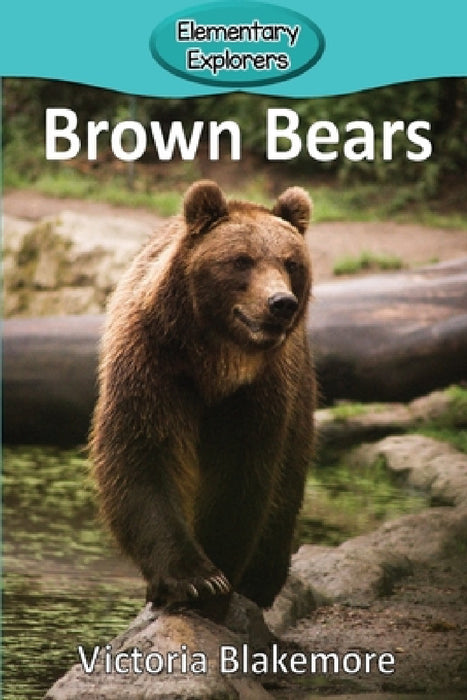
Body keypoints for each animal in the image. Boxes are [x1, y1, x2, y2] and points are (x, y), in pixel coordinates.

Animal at [90, 180, 315, 615]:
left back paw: (262, 581)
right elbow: (142, 457)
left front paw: (220, 579)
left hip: (301, 403)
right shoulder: (152, 366)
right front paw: (196, 579)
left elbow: (240, 478)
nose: (280, 303)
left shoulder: (258, 394)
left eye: (291, 262)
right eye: (242, 260)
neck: (214, 363)